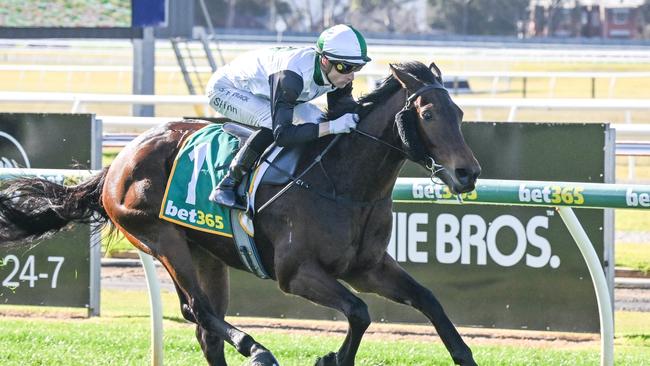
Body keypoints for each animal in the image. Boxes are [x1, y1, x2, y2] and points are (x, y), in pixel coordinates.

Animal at [1, 61, 480, 364]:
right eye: (429, 114)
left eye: (459, 111)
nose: (468, 173)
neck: (343, 183)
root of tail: (119, 160)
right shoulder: (296, 273)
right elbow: (359, 312)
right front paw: (330, 358)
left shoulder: (369, 267)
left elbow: (428, 300)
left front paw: (463, 354)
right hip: (161, 239)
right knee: (199, 311)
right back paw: (259, 351)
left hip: (207, 254)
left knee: (205, 330)